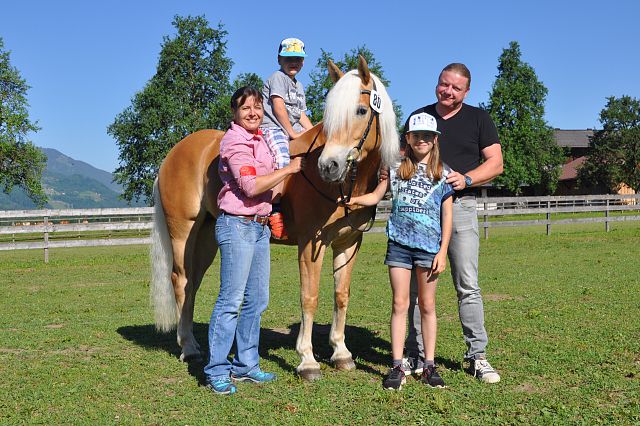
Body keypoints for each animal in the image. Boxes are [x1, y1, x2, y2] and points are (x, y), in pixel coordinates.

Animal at [152, 55, 398, 380]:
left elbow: (341, 294)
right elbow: (309, 296)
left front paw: (341, 353)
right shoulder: (311, 243)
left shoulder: (349, 243)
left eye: (360, 110)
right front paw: (307, 360)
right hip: (182, 231)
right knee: (180, 280)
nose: (328, 166)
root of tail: (173, 154)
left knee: (192, 283)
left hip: (206, 236)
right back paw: (189, 348)